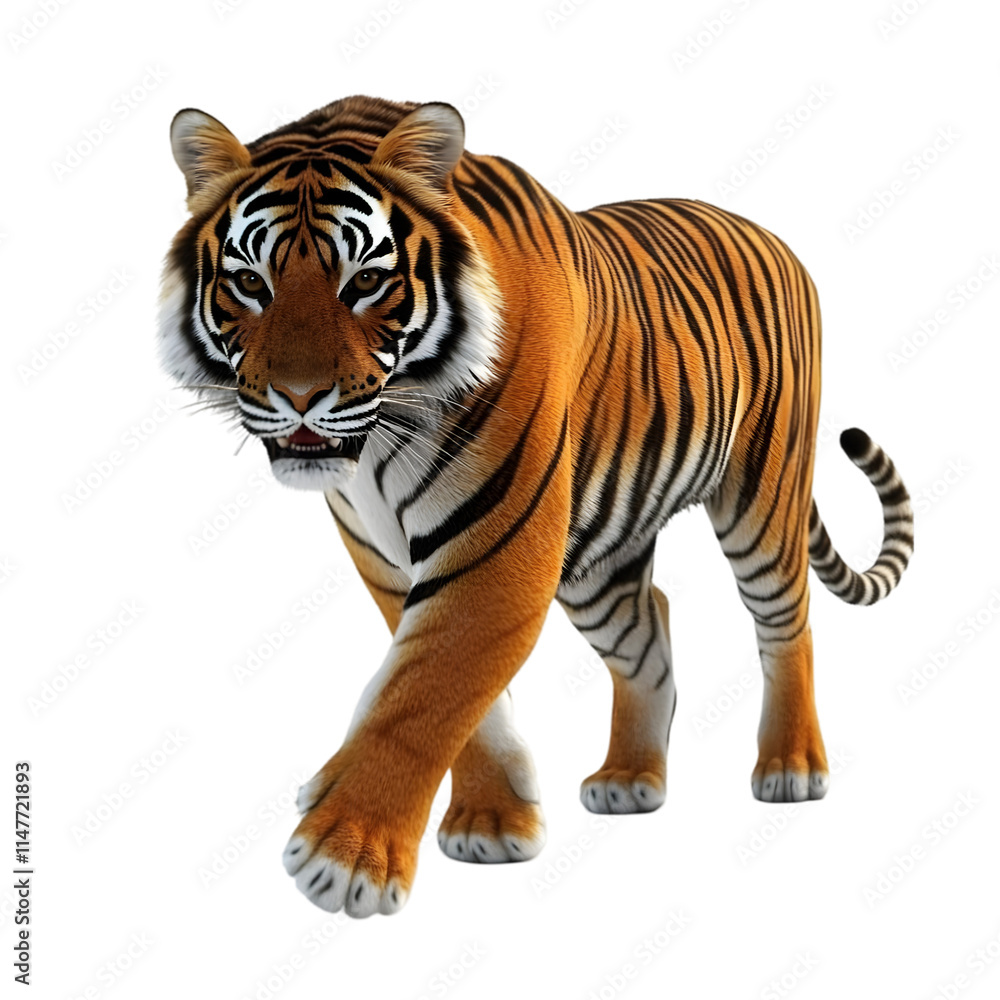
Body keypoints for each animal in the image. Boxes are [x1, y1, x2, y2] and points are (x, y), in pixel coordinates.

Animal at [160, 95, 914, 918]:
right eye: (249, 282)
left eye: (365, 280)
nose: (298, 398)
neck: (383, 440)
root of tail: (770, 235)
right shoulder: (385, 554)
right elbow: (446, 686)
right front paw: (491, 821)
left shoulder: (497, 547)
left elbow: (425, 690)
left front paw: (347, 852)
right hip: (598, 562)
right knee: (650, 624)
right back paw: (632, 779)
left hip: (762, 498)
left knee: (788, 624)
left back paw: (790, 767)